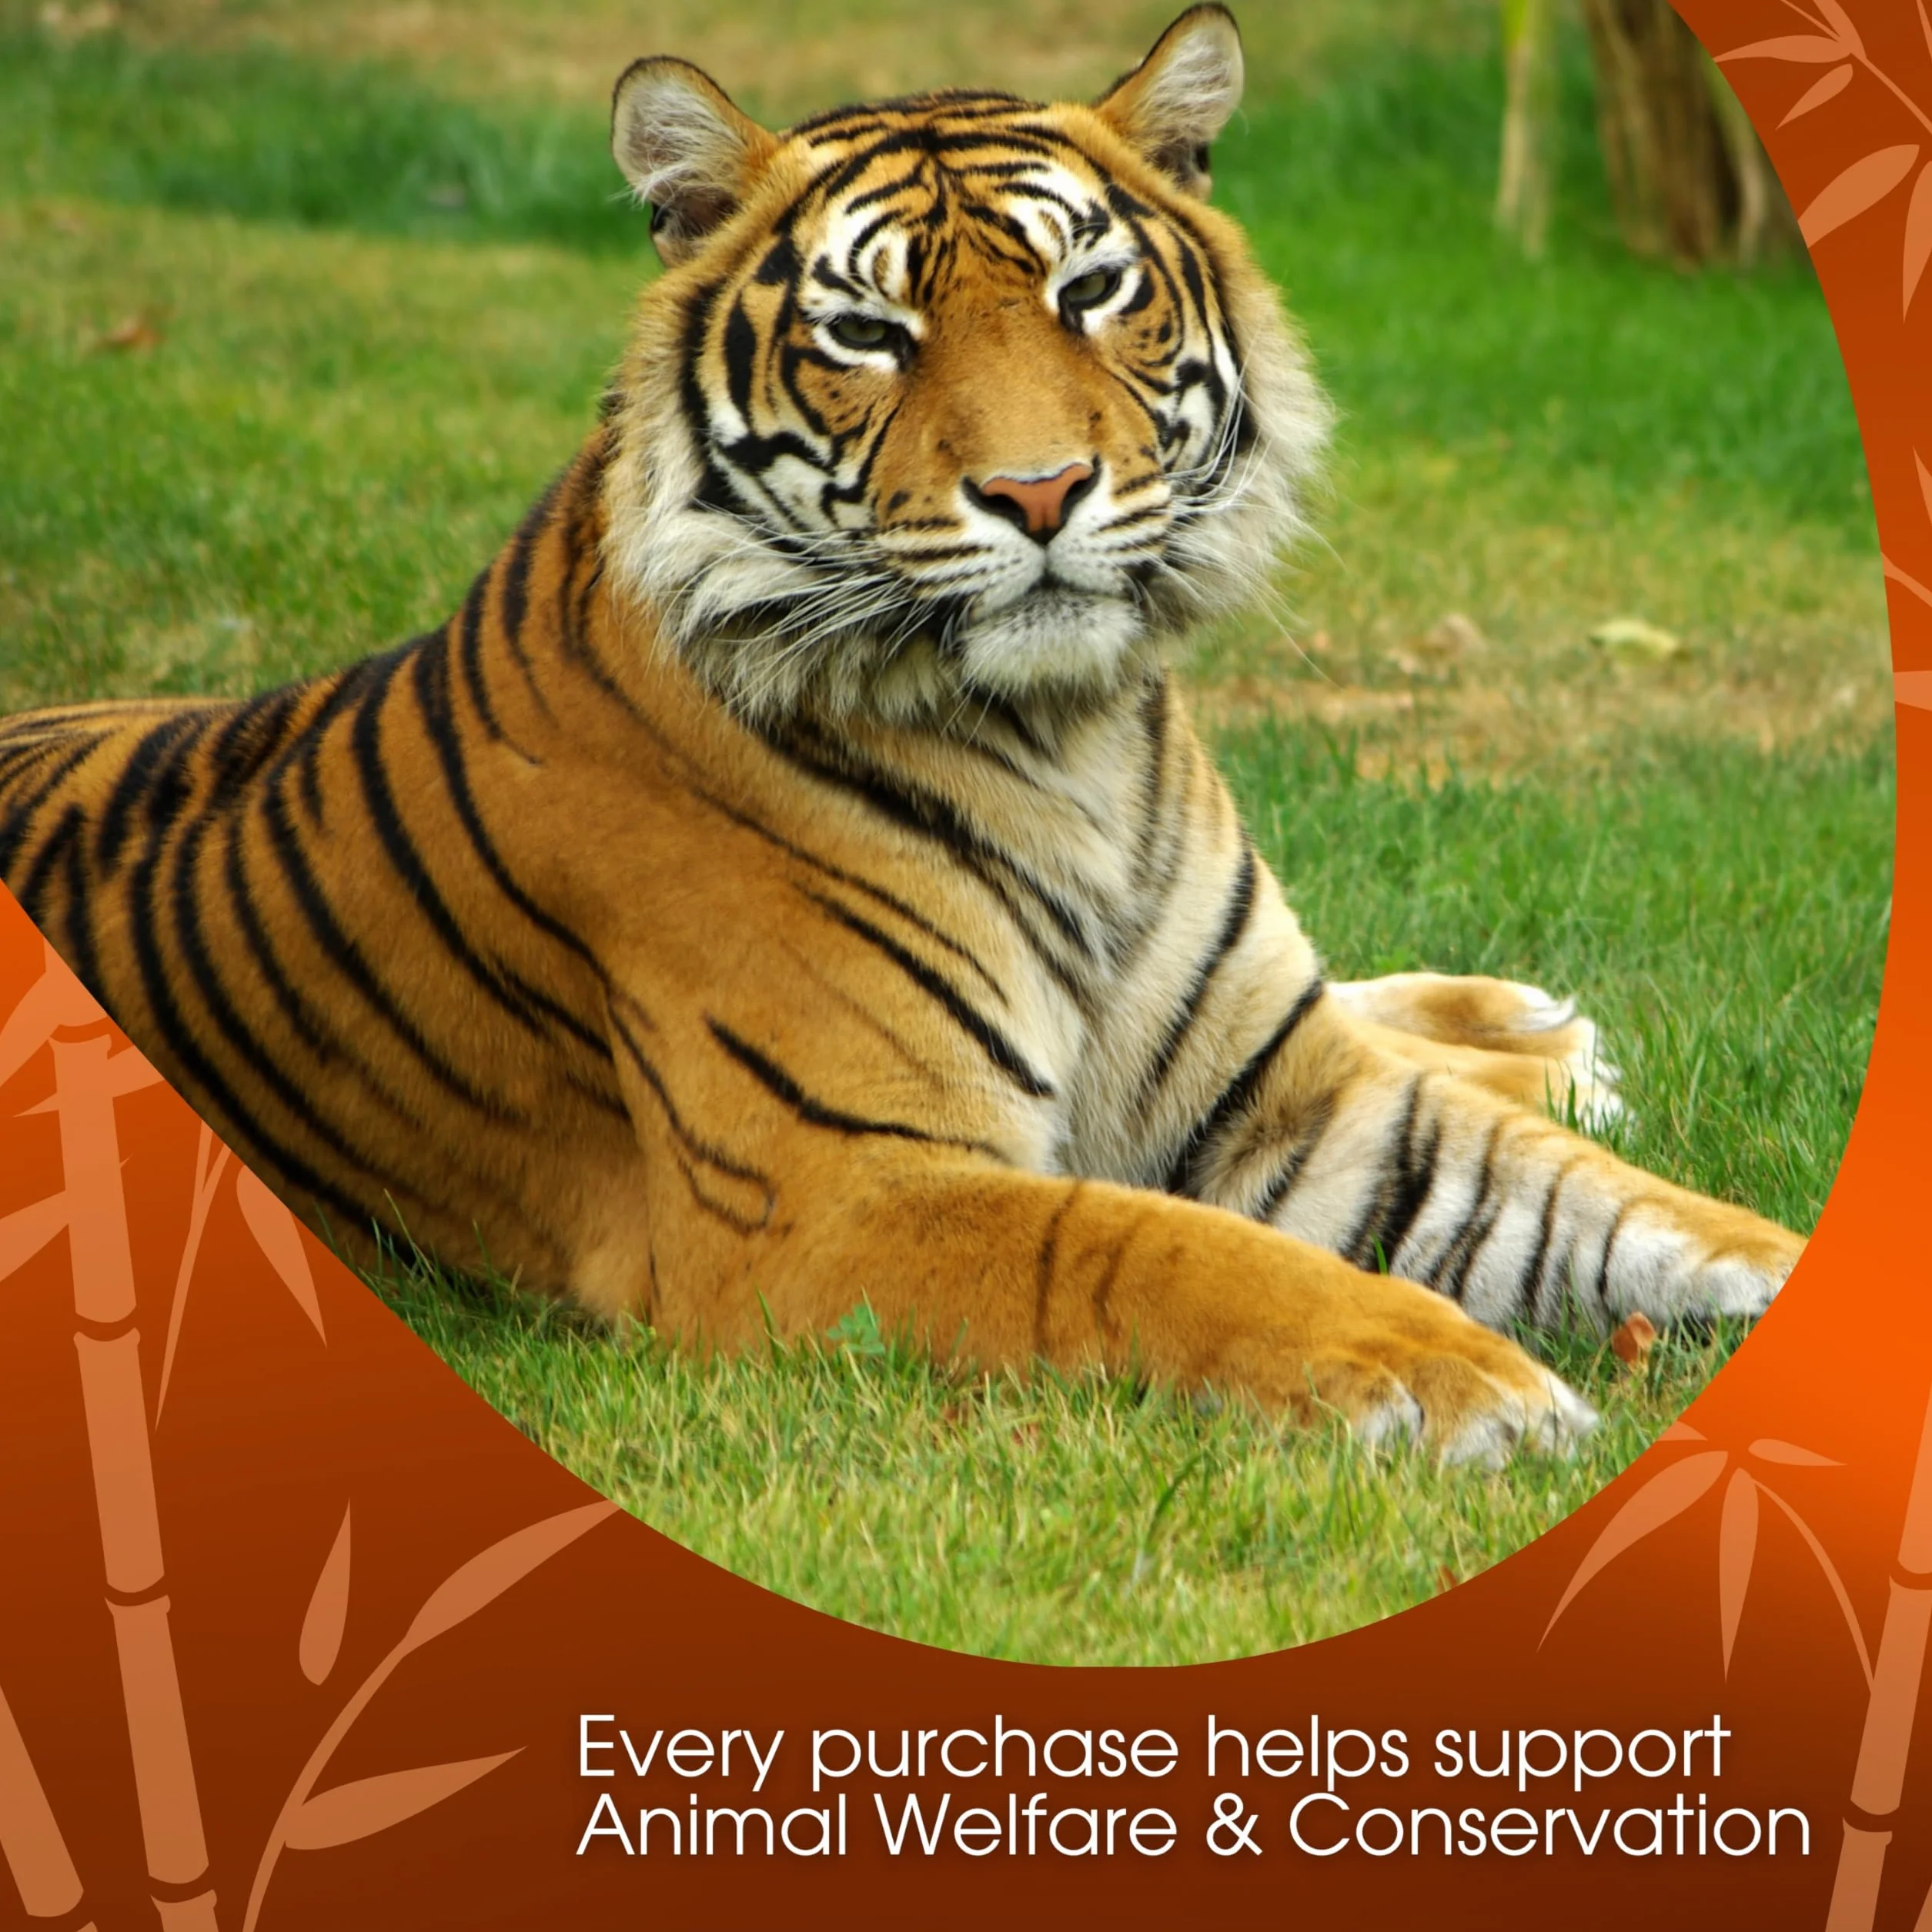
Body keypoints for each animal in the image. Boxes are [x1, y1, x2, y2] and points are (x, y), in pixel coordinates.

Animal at [0, 4, 1803, 1468]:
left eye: (1090, 292)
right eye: (868, 334)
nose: (1038, 493)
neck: (1074, 743)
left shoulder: (1295, 1094)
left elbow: (1626, 1209)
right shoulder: (834, 1199)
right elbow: (1152, 1247)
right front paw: (1459, 1376)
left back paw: (1533, 1031)